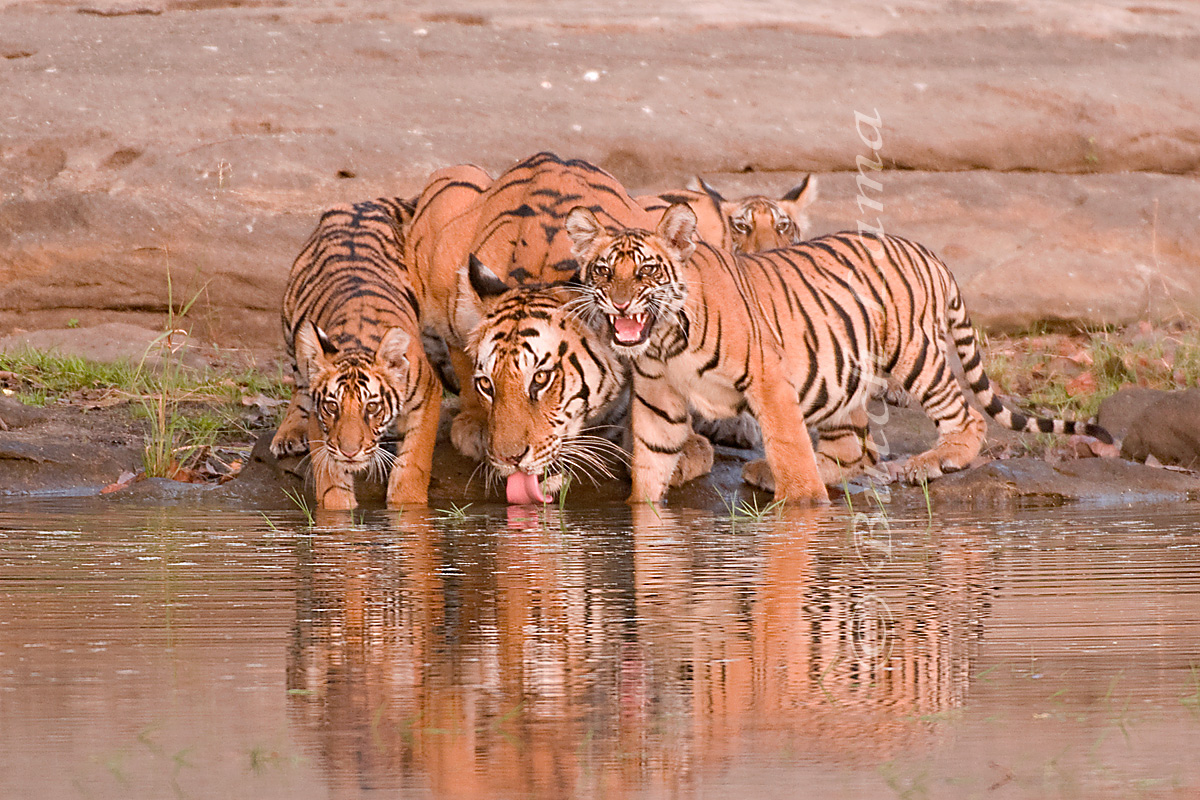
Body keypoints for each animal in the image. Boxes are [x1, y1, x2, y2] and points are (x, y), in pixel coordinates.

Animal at [270, 197, 443, 510]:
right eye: (332, 407)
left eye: (372, 408)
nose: (350, 452)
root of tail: (360, 204)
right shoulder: (321, 423)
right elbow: (330, 480)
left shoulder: (428, 394)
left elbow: (414, 462)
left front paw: (406, 506)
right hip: (292, 327)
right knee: (299, 384)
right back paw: (288, 434)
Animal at [564, 202, 1113, 504]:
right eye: (603, 271)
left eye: (646, 271)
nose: (619, 304)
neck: (663, 340)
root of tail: (928, 251)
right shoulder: (658, 400)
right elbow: (651, 465)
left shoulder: (768, 380)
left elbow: (789, 449)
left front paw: (803, 506)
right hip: (840, 376)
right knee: (852, 451)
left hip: (915, 355)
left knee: (966, 415)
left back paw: (933, 461)